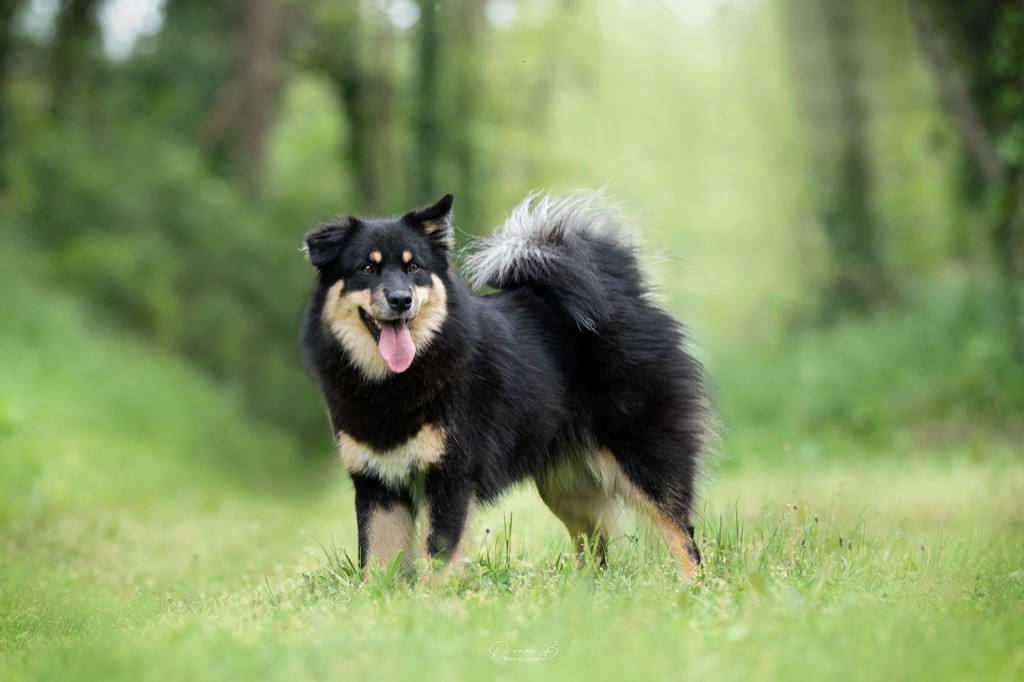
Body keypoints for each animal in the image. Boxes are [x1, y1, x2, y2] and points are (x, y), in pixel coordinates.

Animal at [299, 191, 708, 577]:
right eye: (367, 268)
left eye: (414, 267)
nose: (401, 299)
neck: (393, 382)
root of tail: (627, 294)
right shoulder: (377, 484)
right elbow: (377, 564)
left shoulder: (449, 477)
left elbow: (437, 559)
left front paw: (431, 601)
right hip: (566, 483)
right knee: (595, 545)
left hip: (644, 456)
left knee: (681, 534)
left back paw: (693, 588)